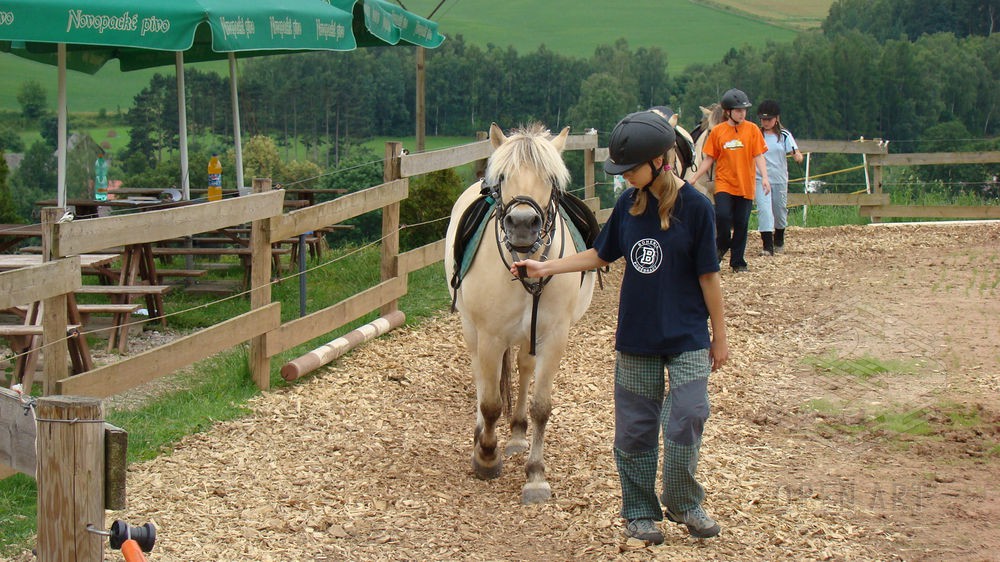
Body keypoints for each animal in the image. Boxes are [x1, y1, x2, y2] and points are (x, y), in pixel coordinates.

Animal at [444, 123, 596, 504]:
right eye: (503, 177)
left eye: (551, 178)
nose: (523, 223)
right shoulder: (491, 336)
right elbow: (490, 403)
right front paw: (486, 456)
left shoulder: (554, 337)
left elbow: (542, 406)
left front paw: (536, 475)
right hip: (472, 329)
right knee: (480, 378)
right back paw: (483, 436)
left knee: (524, 370)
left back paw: (516, 432)